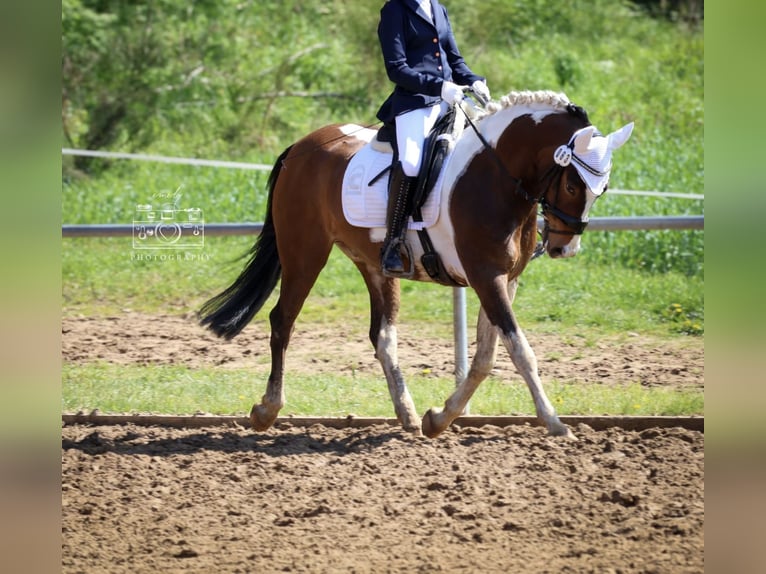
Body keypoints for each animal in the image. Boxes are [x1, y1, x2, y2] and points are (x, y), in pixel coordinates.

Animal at [198, 91, 636, 440]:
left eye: (603, 189)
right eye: (573, 184)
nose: (565, 248)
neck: (495, 177)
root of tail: (301, 146)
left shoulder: (505, 279)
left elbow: (485, 357)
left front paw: (439, 418)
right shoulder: (486, 277)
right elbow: (520, 351)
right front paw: (555, 422)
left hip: (374, 265)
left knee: (382, 335)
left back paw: (407, 413)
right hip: (304, 252)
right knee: (282, 321)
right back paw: (266, 409)